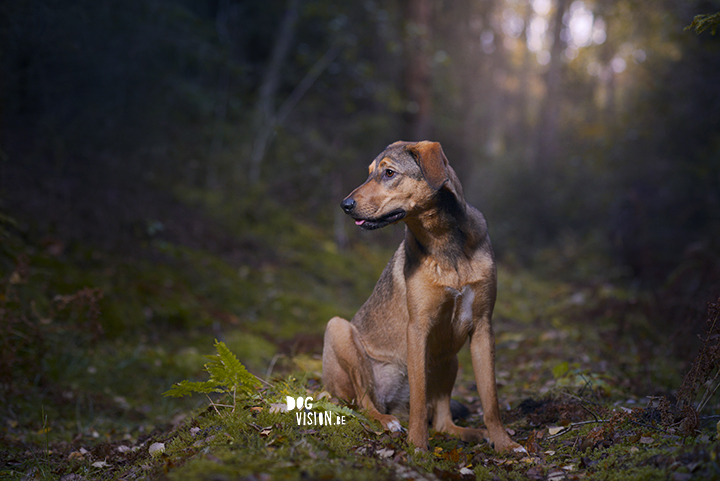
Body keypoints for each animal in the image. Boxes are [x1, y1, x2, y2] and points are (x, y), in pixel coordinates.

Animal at [324, 141, 520, 452]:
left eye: (389, 173)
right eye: (370, 173)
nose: (345, 205)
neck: (443, 242)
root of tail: (392, 404)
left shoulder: (482, 327)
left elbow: (491, 400)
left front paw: (505, 443)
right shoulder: (418, 328)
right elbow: (418, 399)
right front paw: (417, 445)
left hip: (450, 359)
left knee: (442, 421)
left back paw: (472, 433)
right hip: (339, 330)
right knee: (366, 401)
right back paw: (387, 421)